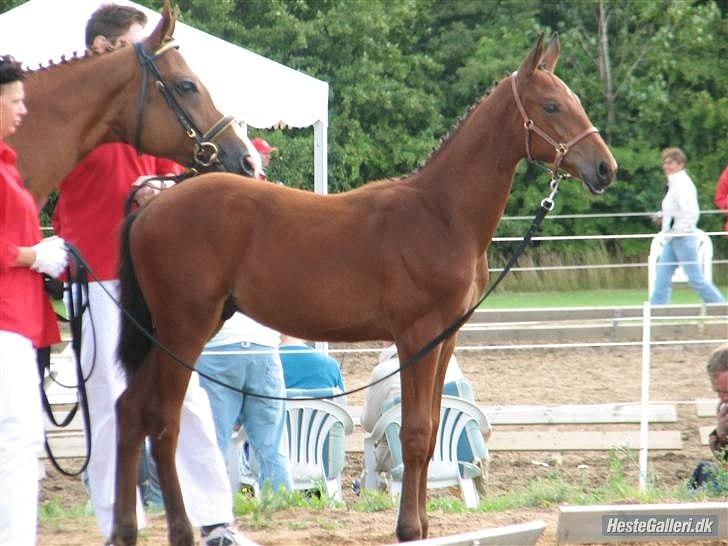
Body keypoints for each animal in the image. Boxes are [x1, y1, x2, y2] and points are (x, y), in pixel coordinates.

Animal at [116, 34, 616, 544]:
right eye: (551, 105)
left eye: (575, 100)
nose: (604, 168)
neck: (441, 215)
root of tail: (152, 206)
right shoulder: (417, 336)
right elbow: (414, 433)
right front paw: (409, 527)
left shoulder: (445, 339)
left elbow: (431, 430)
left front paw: (423, 523)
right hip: (184, 328)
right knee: (163, 420)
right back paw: (179, 529)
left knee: (131, 410)